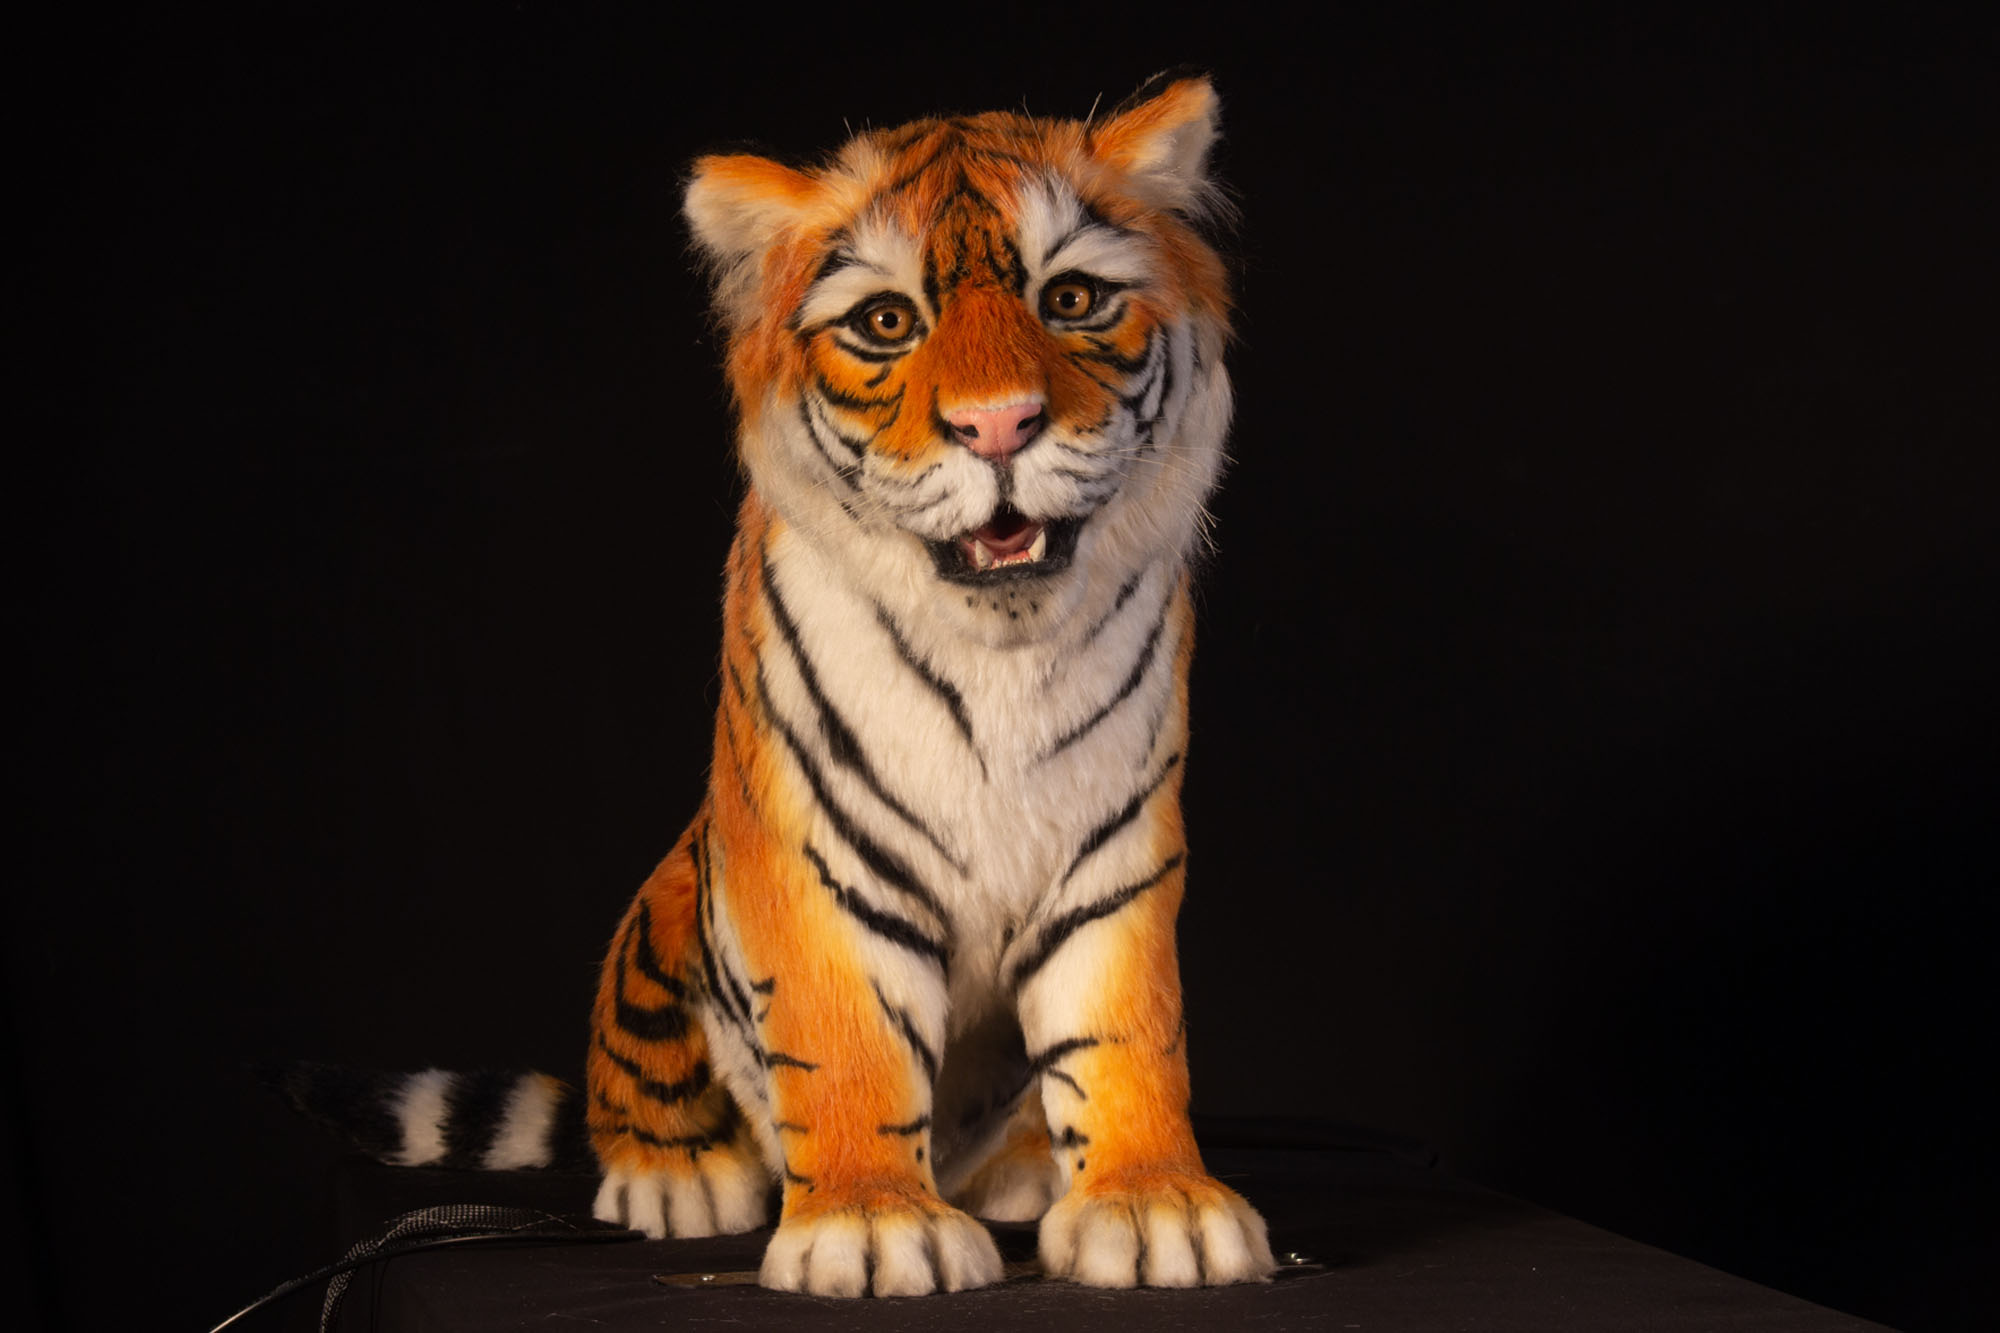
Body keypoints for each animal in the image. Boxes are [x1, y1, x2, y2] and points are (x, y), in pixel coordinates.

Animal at [284, 71, 1272, 1298]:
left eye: (1074, 298)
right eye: (886, 321)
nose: (998, 424)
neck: (1002, 649)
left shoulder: (1117, 845)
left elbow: (1126, 1028)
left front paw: (1154, 1201)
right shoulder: (812, 848)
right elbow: (845, 1040)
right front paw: (871, 1223)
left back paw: (1021, 1165)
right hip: (660, 908)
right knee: (632, 1091)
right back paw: (678, 1177)